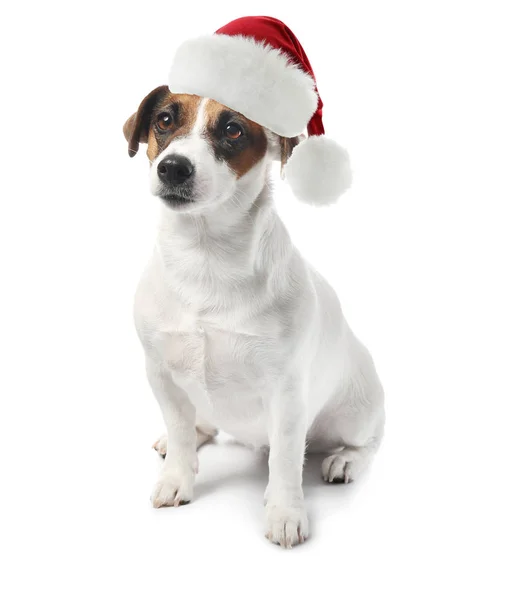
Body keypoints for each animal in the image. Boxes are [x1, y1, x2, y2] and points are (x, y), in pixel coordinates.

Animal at [125, 85, 386, 548]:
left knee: (366, 442)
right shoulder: (160, 373)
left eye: (233, 129)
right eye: (164, 120)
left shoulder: (285, 392)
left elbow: (284, 460)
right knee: (199, 423)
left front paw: (285, 512)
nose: (173, 168)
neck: (204, 257)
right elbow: (179, 431)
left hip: (355, 415)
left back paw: (345, 461)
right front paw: (176, 475)